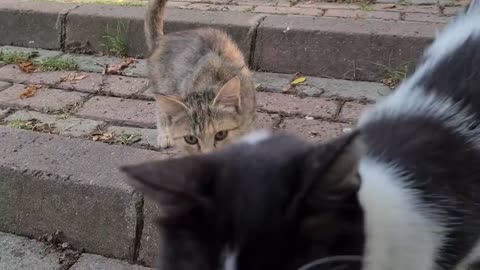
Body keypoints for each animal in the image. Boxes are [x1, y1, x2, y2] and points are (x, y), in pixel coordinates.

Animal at [144, 0, 256, 153]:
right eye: (191, 139)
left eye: (221, 134)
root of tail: (162, 39)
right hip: (163, 84)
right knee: (160, 109)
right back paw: (165, 134)